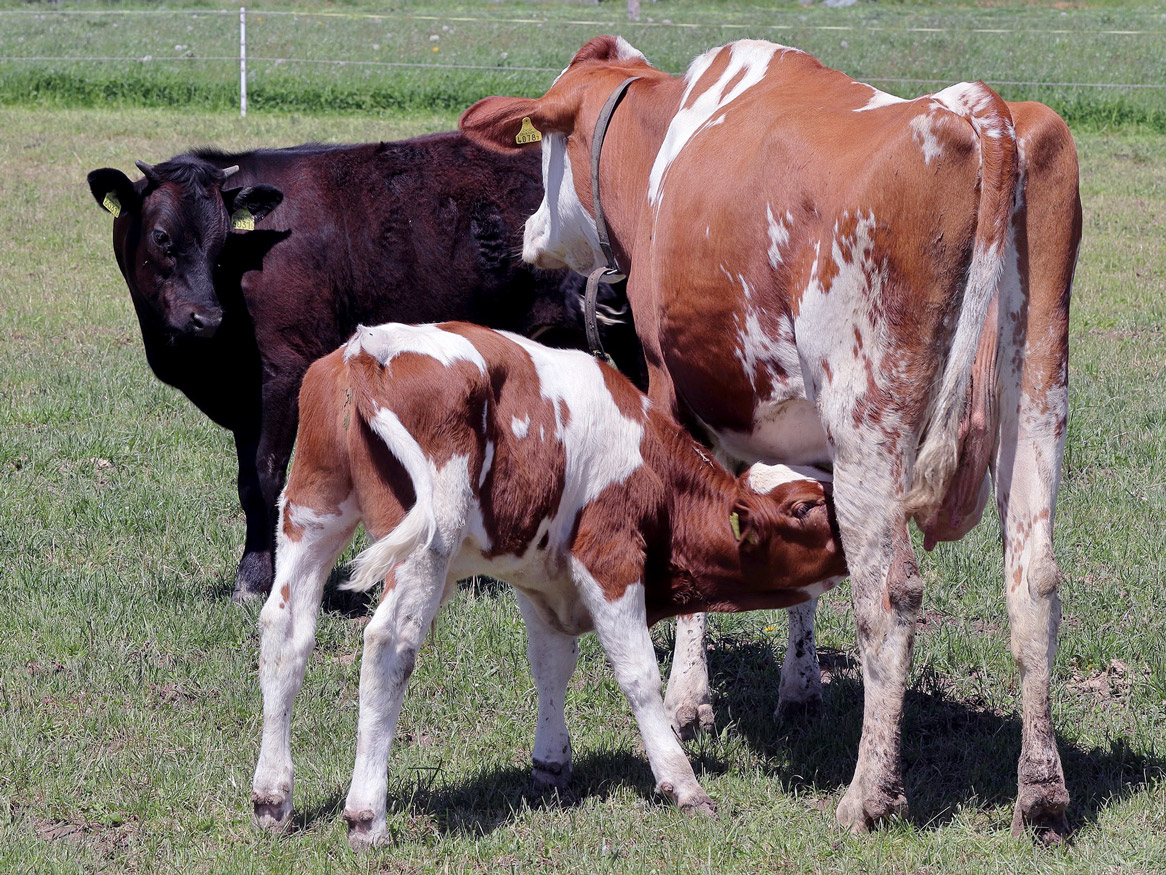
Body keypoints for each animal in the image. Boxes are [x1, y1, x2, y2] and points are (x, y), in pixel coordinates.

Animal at [87, 133, 640, 601]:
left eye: (223, 244)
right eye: (161, 237)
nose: (206, 317)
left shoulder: (282, 373)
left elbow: (264, 479)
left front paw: (256, 579)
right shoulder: (245, 396)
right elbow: (247, 480)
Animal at [249, 321, 847, 847]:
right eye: (806, 507)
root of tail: (370, 344)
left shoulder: (537, 573)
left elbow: (551, 663)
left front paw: (551, 764)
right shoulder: (608, 555)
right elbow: (637, 674)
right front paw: (682, 782)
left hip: (312, 509)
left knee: (285, 631)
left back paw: (272, 798)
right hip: (426, 541)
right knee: (387, 645)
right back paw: (367, 817)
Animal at [459, 37, 1080, 838]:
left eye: (543, 152)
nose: (531, 230)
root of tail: (979, 111)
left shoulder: (672, 384)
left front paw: (689, 698)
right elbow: (810, 556)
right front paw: (801, 686)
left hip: (869, 417)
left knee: (891, 593)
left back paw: (869, 794)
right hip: (1036, 397)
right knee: (1034, 576)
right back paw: (1041, 791)